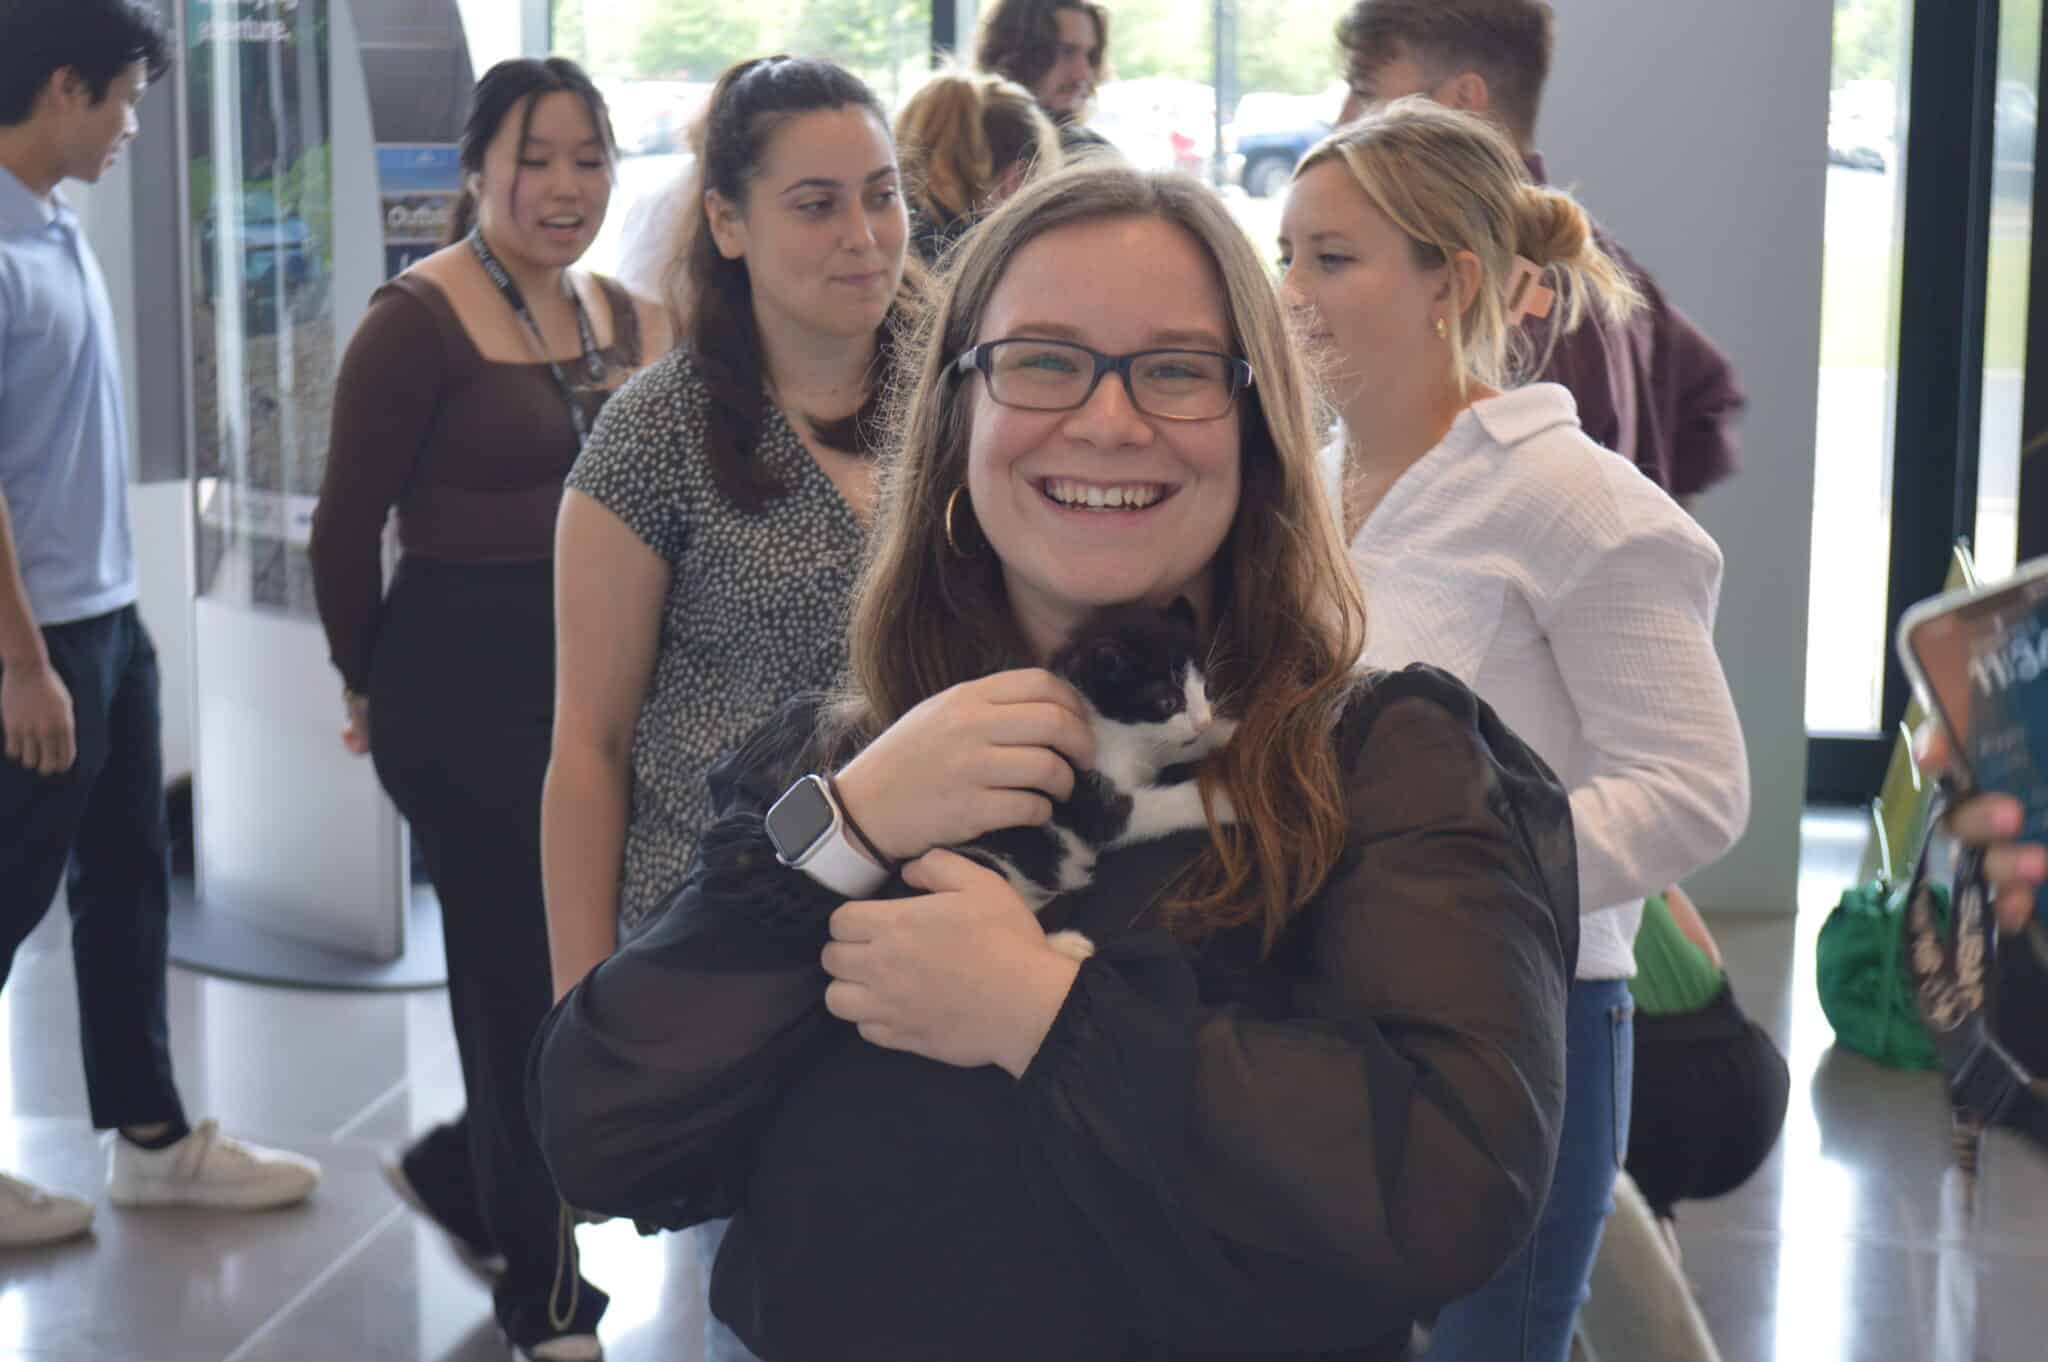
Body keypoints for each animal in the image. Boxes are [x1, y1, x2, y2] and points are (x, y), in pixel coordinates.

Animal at [954, 602, 1228, 962]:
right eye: (1168, 702)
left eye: (1206, 689)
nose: (1204, 721)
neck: (1116, 731)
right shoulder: (1089, 800)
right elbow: (1164, 804)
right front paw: (1227, 798)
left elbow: (1174, 747)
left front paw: (1228, 731)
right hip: (979, 860)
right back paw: (1066, 944)